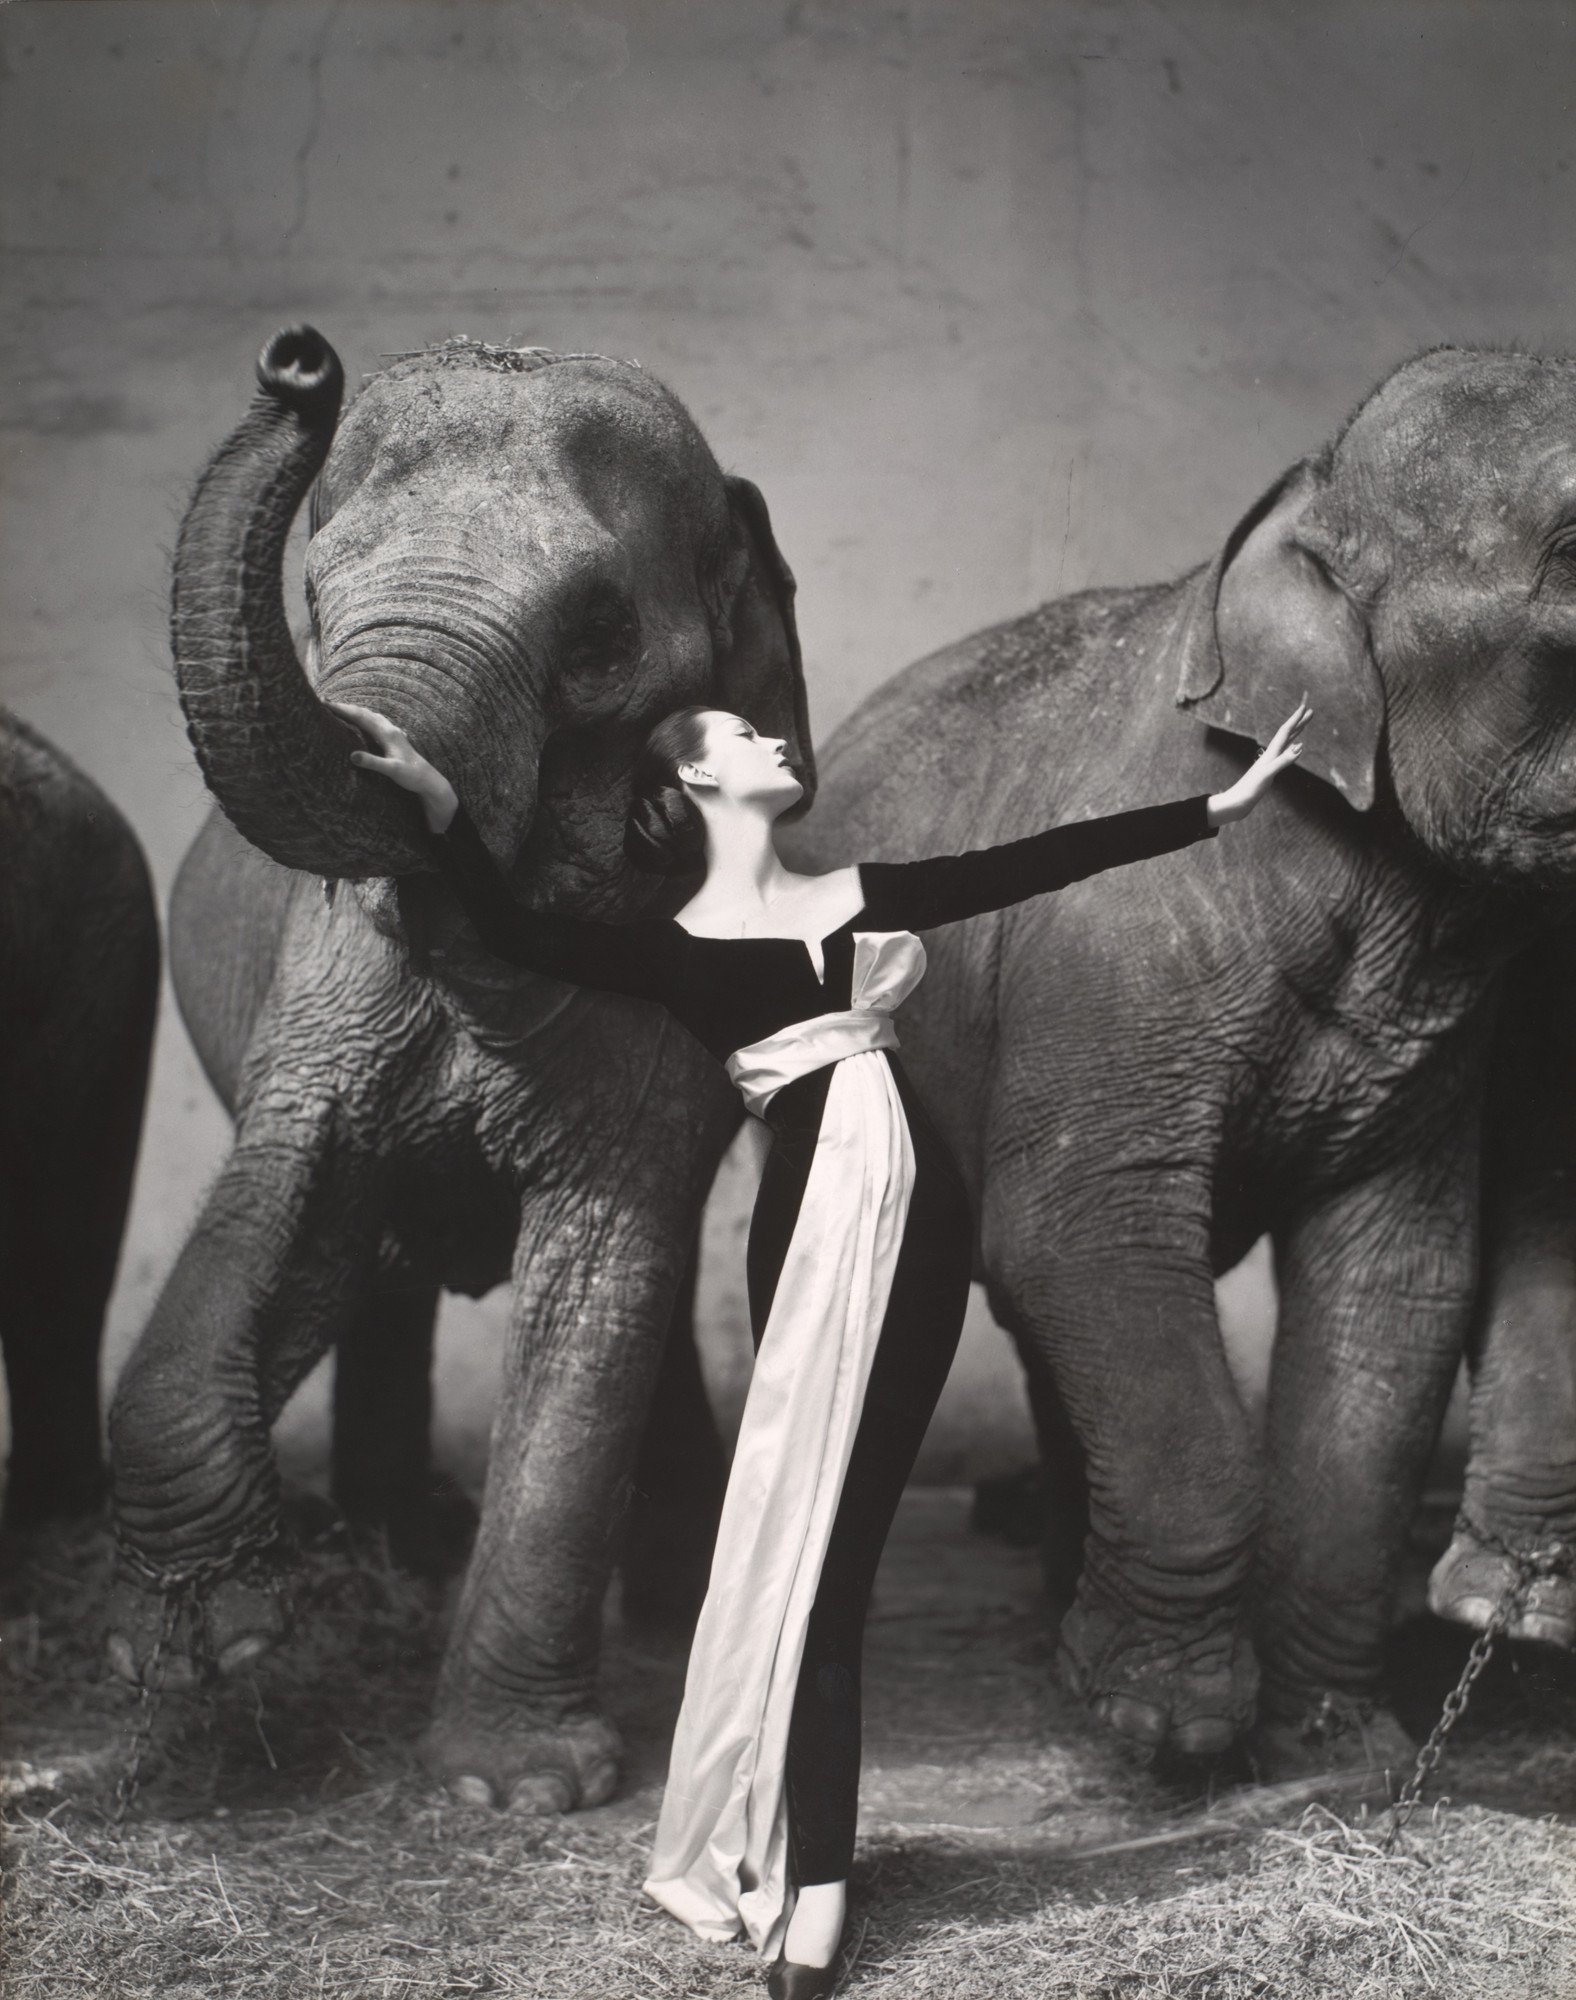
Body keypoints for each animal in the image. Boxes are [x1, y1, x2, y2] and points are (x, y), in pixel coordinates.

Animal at [104, 326, 808, 1805]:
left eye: (598, 634)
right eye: (313, 597)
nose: (298, 363)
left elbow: (604, 1270)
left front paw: (508, 1789)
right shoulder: (322, 990)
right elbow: (287, 1190)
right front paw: (199, 1647)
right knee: (375, 1270)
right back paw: (399, 1550)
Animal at [772, 343, 1576, 1769]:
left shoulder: (1435, 1041)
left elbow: (1392, 1283)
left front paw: (1335, 1747)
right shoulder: (1110, 949)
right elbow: (1080, 1227)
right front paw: (1164, 1722)